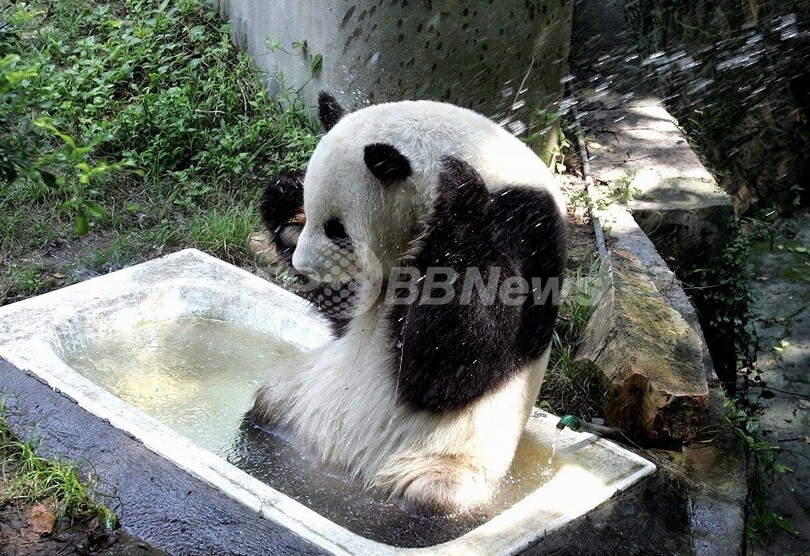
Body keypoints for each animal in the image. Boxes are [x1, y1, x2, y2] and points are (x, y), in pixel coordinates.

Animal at [251, 92, 560, 516]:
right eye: (314, 216)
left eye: (337, 228)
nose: (305, 268)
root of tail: (345, 470)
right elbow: (345, 317)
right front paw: (286, 198)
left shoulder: (526, 228)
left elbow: (456, 364)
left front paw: (460, 199)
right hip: (294, 397)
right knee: (265, 405)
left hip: (442, 458)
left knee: (437, 497)